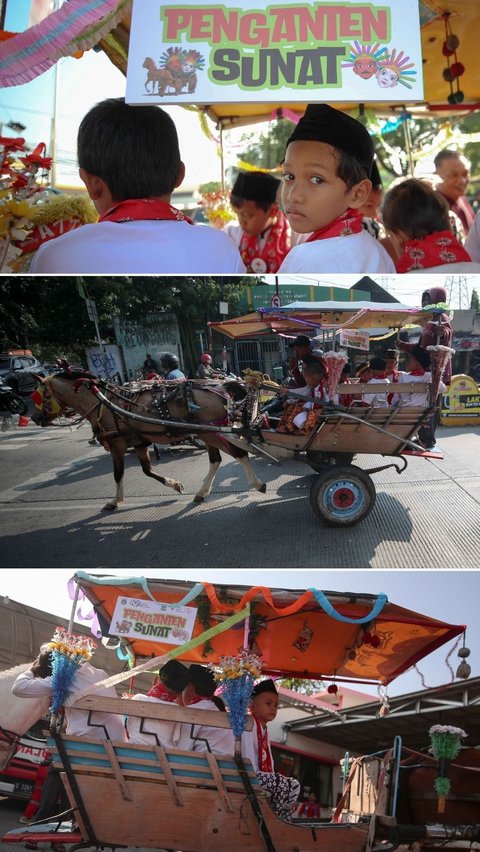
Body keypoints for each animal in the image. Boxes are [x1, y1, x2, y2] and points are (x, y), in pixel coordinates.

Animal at [32, 372, 266, 506]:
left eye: (44, 396)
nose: (35, 418)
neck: (103, 403)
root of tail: (221, 386)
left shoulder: (117, 444)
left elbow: (118, 474)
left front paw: (115, 500)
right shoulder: (138, 442)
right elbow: (147, 470)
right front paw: (175, 485)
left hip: (209, 433)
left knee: (239, 453)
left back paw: (258, 483)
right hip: (206, 433)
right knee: (216, 460)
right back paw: (201, 492)